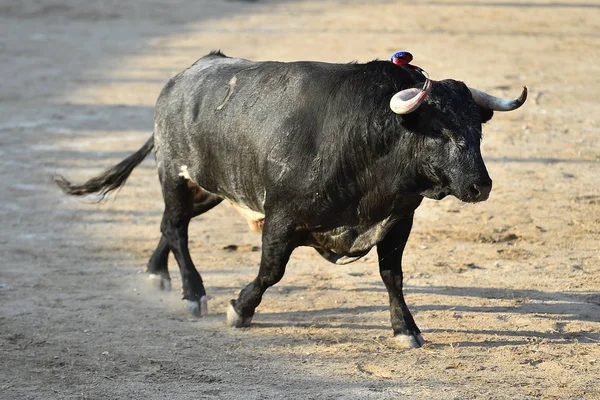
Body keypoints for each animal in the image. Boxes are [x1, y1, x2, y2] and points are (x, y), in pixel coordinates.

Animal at [56, 52, 524, 346]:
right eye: (440, 131)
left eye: (477, 130)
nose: (480, 186)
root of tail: (182, 78)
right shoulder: (280, 219)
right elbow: (271, 271)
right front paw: (239, 309)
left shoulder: (397, 222)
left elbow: (393, 277)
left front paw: (405, 329)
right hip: (174, 173)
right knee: (175, 225)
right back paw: (193, 293)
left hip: (209, 187)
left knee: (172, 224)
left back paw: (158, 274)